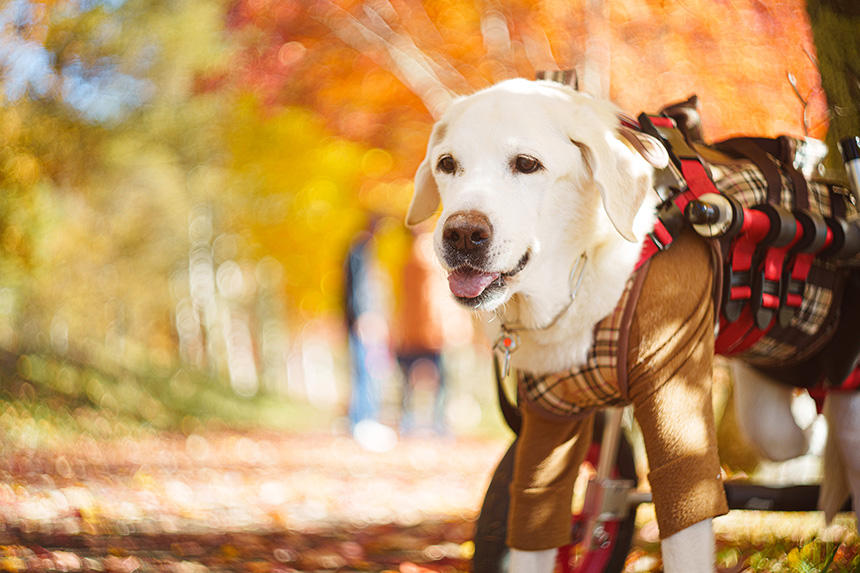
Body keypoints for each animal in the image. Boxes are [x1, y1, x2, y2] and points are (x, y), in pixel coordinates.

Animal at [404, 79, 860, 572]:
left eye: (527, 164)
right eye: (447, 164)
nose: (462, 234)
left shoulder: (677, 415)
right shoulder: (547, 428)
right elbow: (538, 514)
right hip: (769, 404)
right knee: (784, 434)